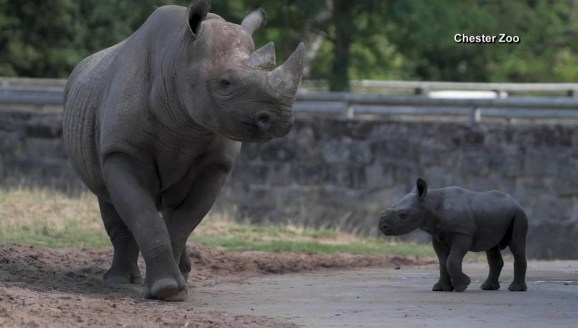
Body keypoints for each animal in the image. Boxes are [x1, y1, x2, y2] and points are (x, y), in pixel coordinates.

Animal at [63, 0, 304, 302]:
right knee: (108, 198)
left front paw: (175, 290)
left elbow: (182, 223)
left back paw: (180, 273)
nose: (281, 119)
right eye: (225, 83)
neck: (177, 60)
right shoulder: (122, 152)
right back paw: (118, 281)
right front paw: (167, 290)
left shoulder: (216, 164)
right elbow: (145, 218)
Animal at [378, 179, 528, 292]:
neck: (429, 203)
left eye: (403, 215)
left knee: (516, 246)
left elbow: (451, 260)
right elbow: (442, 262)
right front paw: (441, 288)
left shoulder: (462, 233)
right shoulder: (437, 235)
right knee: (491, 248)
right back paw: (488, 287)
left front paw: (463, 284)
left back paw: (515, 289)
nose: (383, 227)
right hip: (495, 213)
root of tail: (515, 202)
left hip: (519, 214)